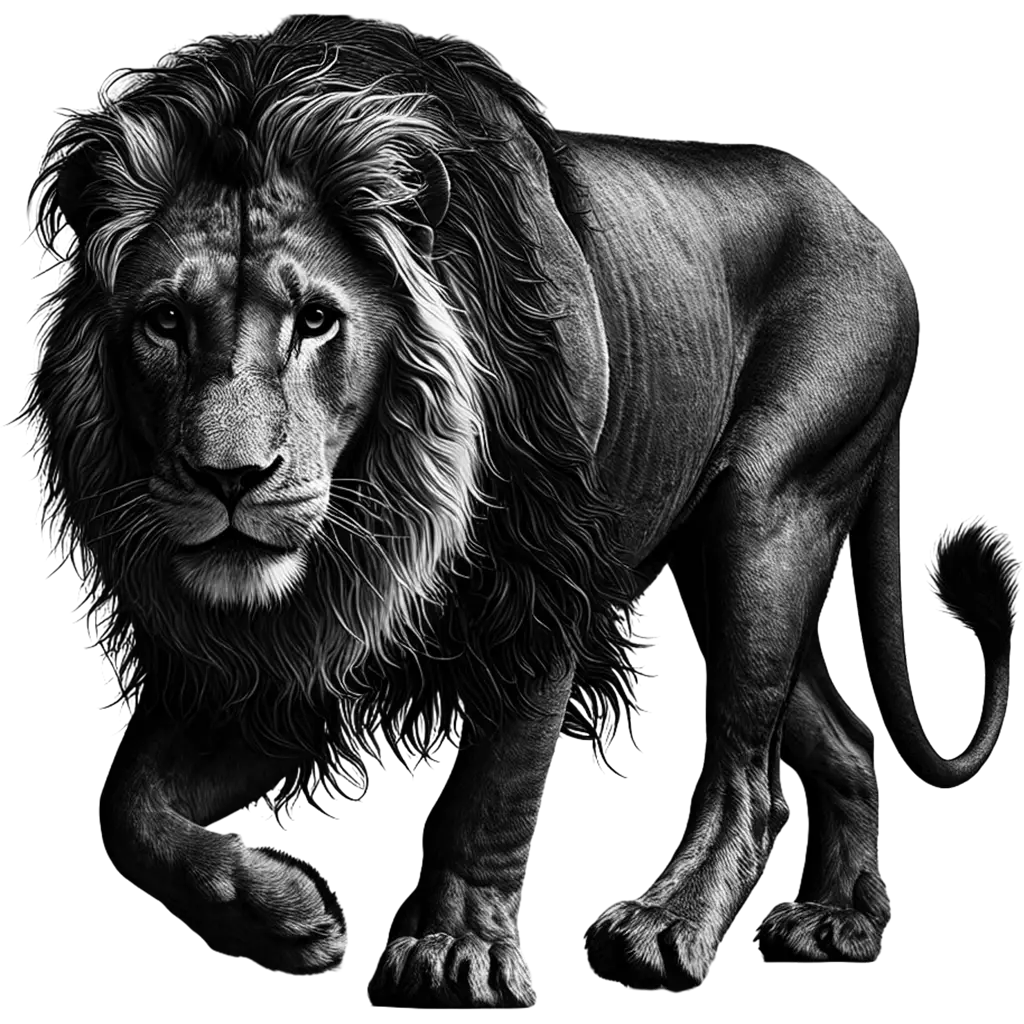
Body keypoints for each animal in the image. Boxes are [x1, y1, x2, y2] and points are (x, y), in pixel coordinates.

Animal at [23, 13, 1017, 1010]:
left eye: (315, 319)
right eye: (163, 321)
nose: (229, 477)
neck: (392, 514)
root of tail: (862, 220)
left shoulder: (538, 582)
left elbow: (491, 787)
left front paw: (456, 948)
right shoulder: (300, 655)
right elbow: (128, 805)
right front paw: (284, 913)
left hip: (770, 504)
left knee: (745, 767)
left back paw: (666, 928)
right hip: (729, 554)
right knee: (834, 742)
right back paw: (836, 922)